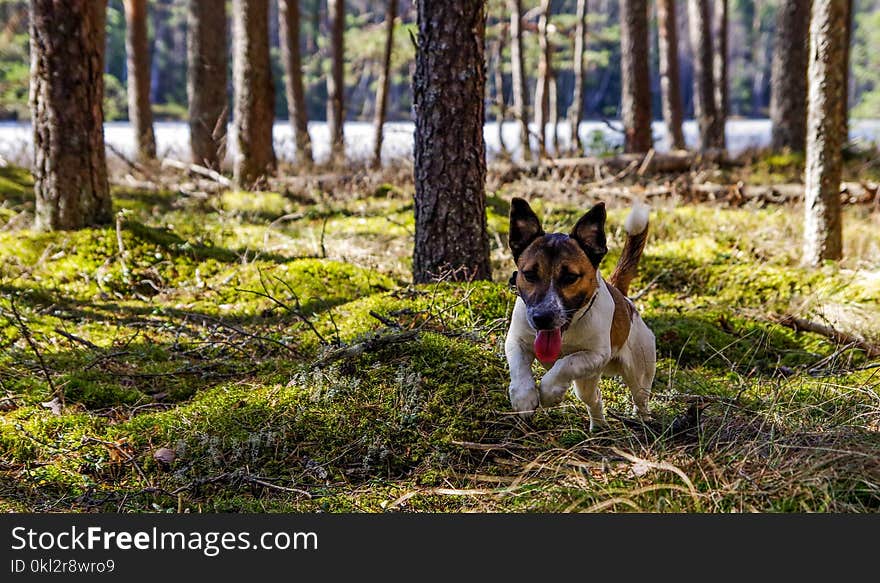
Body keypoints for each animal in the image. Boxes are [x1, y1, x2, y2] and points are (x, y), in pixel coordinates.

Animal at [506, 198, 656, 432]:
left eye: (570, 277)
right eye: (529, 274)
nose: (542, 318)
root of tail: (623, 297)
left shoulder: (595, 355)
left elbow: (566, 363)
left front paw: (549, 391)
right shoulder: (515, 341)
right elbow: (518, 367)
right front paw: (524, 397)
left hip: (639, 371)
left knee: (640, 399)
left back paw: (642, 421)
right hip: (588, 382)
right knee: (594, 397)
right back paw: (599, 425)